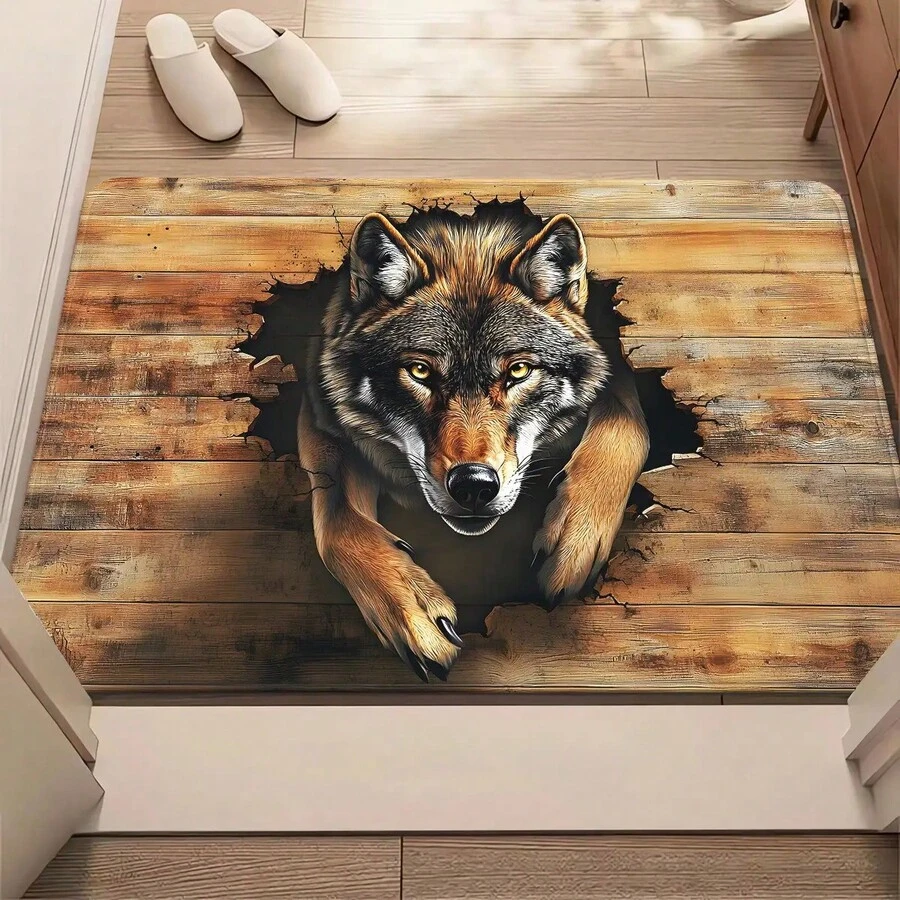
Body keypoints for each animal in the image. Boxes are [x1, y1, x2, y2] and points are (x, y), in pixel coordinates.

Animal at [298, 202, 649, 681]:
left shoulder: (618, 374)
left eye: (518, 371)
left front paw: (575, 540)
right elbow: (334, 521)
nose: (474, 485)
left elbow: (627, 417)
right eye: (420, 372)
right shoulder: (322, 418)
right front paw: (413, 612)